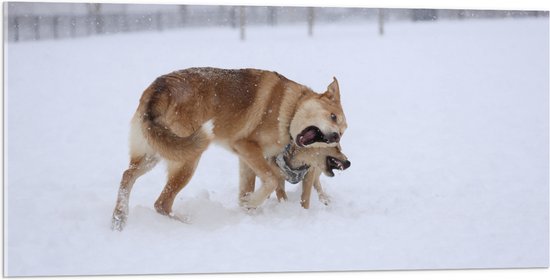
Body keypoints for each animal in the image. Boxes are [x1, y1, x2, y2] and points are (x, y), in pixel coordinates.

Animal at [111, 67, 350, 230]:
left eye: (343, 131)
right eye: (333, 117)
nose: (336, 136)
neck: (289, 110)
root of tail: (159, 90)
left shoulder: (245, 159)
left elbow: (251, 187)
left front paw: (248, 210)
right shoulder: (245, 146)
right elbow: (272, 180)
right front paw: (251, 203)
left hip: (155, 152)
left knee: (127, 176)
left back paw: (119, 218)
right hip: (189, 158)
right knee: (161, 203)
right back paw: (187, 223)